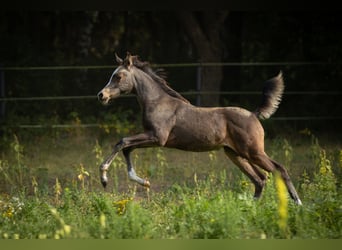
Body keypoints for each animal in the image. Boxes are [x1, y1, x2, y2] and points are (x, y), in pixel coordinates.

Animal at [96, 52, 302, 205]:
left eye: (118, 76)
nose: (101, 95)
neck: (158, 102)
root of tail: (253, 114)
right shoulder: (152, 138)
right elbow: (127, 147)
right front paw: (144, 182)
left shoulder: (157, 137)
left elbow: (122, 142)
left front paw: (104, 178)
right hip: (235, 154)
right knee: (260, 179)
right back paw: (251, 207)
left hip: (254, 152)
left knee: (279, 169)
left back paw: (298, 204)